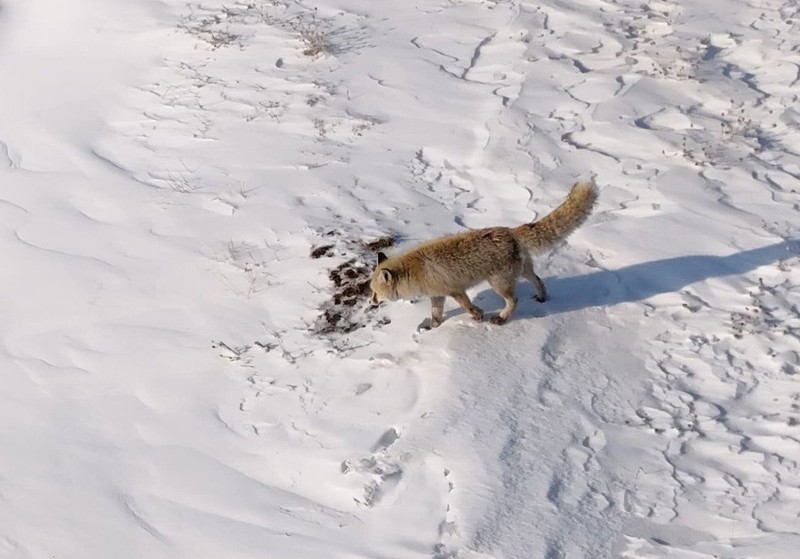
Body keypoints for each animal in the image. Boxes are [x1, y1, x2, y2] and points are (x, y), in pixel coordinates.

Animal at [372, 179, 596, 328]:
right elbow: (436, 315)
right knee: (539, 280)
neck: (415, 271)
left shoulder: (455, 289)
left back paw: (502, 318)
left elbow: (467, 306)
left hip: (499, 283)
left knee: (514, 301)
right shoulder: (437, 295)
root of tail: (509, 231)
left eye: (375, 292)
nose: (372, 302)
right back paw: (542, 298)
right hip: (521, 271)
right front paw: (432, 327)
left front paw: (478, 317)